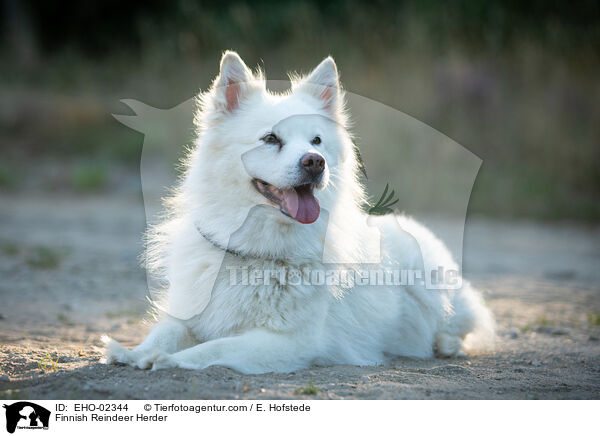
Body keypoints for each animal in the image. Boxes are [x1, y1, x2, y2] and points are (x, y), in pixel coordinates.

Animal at [105, 50, 494, 372]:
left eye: (316, 141)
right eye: (270, 139)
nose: (315, 162)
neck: (254, 251)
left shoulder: (286, 342)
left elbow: (210, 349)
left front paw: (165, 360)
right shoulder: (188, 317)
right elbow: (165, 331)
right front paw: (133, 352)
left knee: (463, 324)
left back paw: (445, 343)